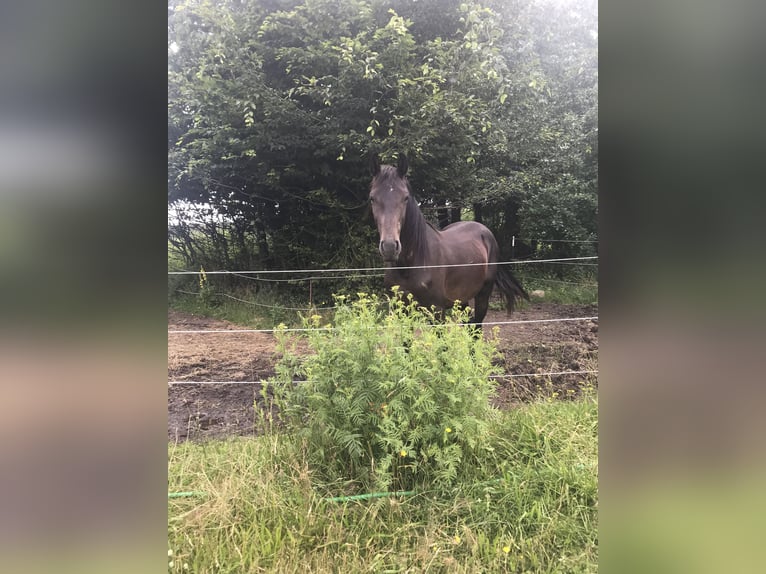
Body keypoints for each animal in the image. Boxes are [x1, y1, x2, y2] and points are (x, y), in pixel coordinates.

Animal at [370, 154, 528, 328]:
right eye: (372, 198)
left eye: (405, 198)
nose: (390, 247)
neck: (410, 264)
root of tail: (485, 231)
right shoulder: (401, 311)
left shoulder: (437, 311)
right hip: (462, 299)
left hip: (483, 295)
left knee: (477, 326)